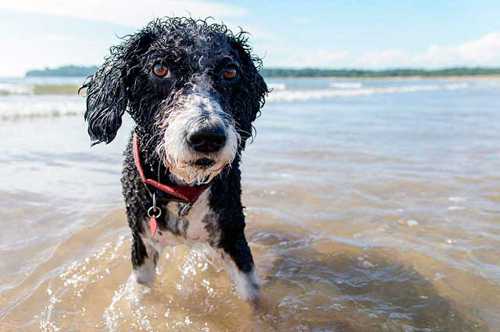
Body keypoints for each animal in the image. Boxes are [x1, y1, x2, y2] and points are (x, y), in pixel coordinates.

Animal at [81, 18, 268, 304]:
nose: (207, 137)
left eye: (230, 73)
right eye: (160, 69)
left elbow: (251, 294)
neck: (182, 190)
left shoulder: (232, 234)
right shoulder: (142, 241)